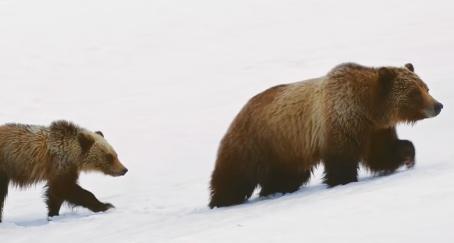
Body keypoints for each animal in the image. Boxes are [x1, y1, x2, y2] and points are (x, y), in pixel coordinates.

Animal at [209, 62, 444, 207]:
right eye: (415, 93)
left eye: (426, 88)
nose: (438, 105)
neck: (368, 108)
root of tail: (240, 112)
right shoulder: (340, 120)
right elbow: (341, 158)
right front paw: (344, 181)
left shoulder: (375, 129)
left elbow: (383, 153)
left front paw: (408, 156)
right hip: (258, 140)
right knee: (237, 174)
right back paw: (222, 200)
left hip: (286, 150)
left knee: (285, 175)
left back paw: (274, 191)